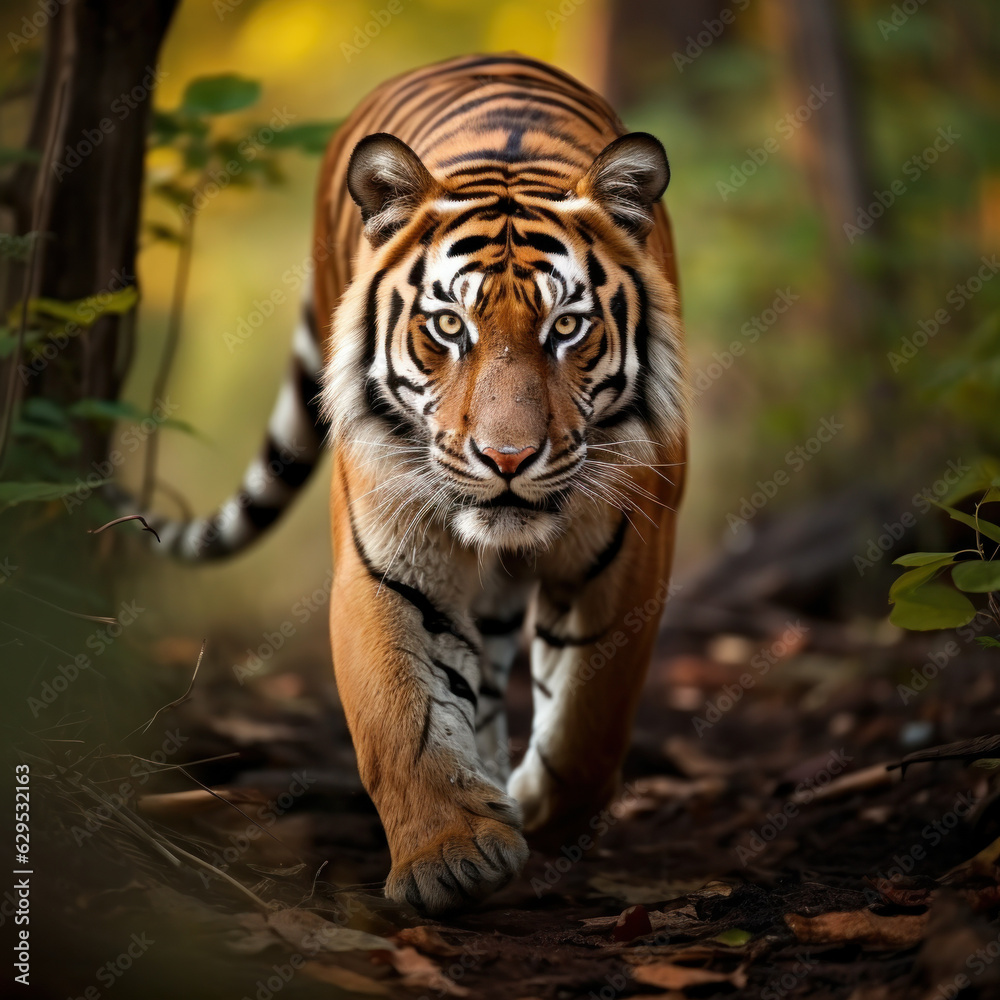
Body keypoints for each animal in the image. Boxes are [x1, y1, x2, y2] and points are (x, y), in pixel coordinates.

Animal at [148, 53, 687, 915]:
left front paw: (537, 813)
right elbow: (402, 714)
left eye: (566, 327)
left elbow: (588, 725)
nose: (507, 458)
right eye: (448, 327)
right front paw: (453, 856)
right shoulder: (387, 556)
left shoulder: (629, 554)